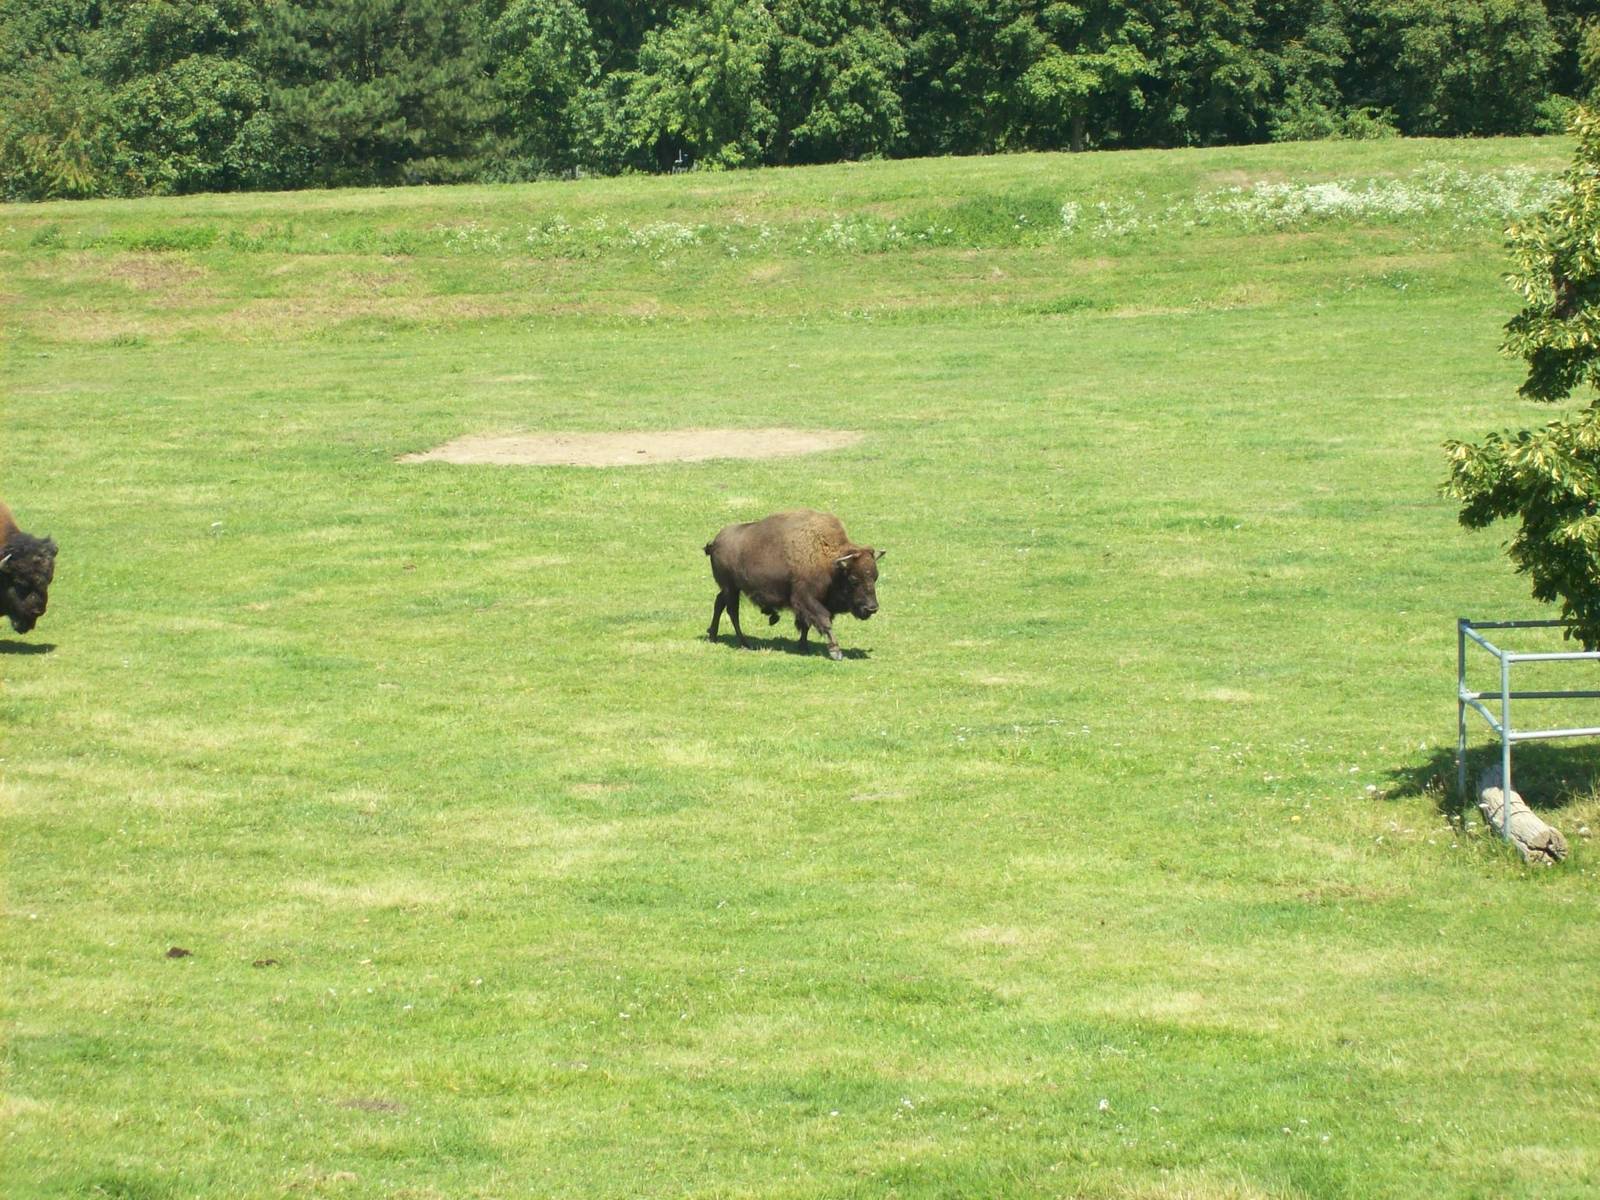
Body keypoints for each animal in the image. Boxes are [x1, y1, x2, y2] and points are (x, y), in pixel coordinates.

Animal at [704, 509, 883, 660]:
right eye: (853, 579)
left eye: (875, 577)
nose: (872, 608)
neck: (829, 561)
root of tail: (715, 542)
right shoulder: (806, 599)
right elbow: (824, 620)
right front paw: (836, 652)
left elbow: (806, 625)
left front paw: (803, 646)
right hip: (731, 588)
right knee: (732, 612)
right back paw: (744, 643)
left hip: (729, 588)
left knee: (719, 603)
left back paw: (713, 636)